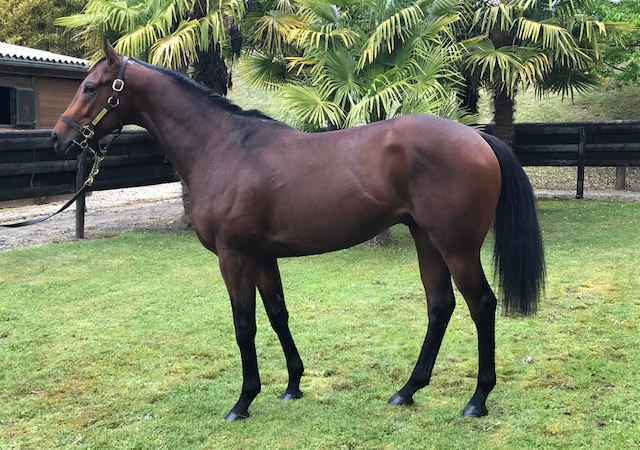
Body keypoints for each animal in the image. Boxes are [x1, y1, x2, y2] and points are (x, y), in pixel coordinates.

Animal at [52, 39, 545, 422]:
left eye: (89, 87)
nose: (59, 138)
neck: (223, 148)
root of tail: (477, 137)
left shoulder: (234, 257)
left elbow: (244, 324)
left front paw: (243, 401)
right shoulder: (261, 256)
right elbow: (277, 314)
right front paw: (292, 385)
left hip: (456, 246)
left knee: (481, 305)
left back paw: (477, 400)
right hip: (427, 240)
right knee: (439, 306)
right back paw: (407, 390)